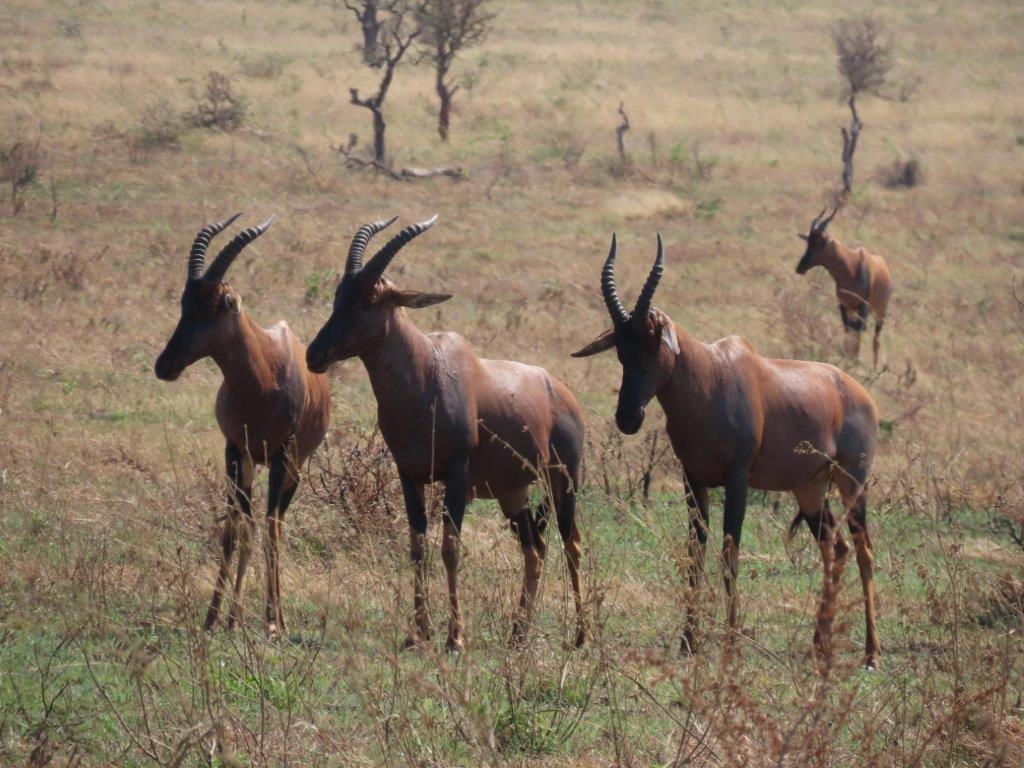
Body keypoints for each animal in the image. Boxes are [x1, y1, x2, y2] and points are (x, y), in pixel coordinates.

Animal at [154, 215, 331, 640]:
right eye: (184, 303)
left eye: (214, 308)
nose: (164, 365)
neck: (263, 377)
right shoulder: (234, 450)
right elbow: (233, 530)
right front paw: (213, 617)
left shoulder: (283, 455)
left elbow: (270, 530)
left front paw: (272, 622)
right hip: (252, 463)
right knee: (248, 524)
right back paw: (234, 617)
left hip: (294, 467)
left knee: (274, 524)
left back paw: (271, 617)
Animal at [306, 216, 587, 651]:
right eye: (338, 294)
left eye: (369, 300)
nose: (314, 354)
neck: (426, 371)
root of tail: (561, 391)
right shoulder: (409, 475)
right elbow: (417, 546)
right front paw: (418, 632)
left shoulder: (457, 473)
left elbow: (450, 549)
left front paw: (455, 638)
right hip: (512, 492)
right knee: (535, 548)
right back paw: (517, 634)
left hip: (563, 480)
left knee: (572, 544)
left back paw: (580, 636)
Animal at [573, 234, 881, 668]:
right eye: (620, 349)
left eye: (654, 344)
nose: (628, 418)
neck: (710, 375)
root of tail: (859, 392)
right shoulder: (693, 481)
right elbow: (695, 553)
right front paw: (688, 641)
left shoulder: (737, 480)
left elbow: (730, 552)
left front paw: (732, 643)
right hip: (810, 489)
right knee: (834, 547)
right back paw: (819, 644)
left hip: (853, 481)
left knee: (864, 549)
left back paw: (871, 652)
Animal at [796, 206, 892, 369]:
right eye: (809, 240)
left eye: (821, 241)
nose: (800, 267)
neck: (852, 266)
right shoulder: (843, 304)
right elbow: (847, 328)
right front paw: (847, 358)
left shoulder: (863, 306)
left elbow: (859, 329)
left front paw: (853, 361)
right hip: (853, 310)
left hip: (880, 311)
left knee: (875, 338)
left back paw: (874, 368)